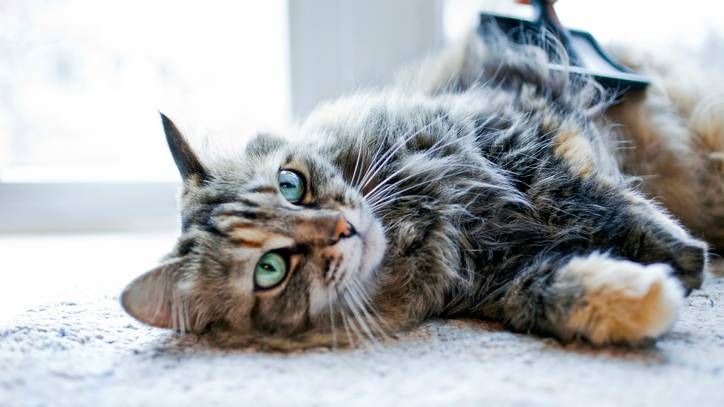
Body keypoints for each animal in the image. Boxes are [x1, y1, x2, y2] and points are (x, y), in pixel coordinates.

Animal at [120, 31, 720, 350]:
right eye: (270, 270)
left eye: (291, 185)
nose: (343, 227)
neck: (424, 228)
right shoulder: (500, 279)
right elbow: (552, 294)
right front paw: (655, 291)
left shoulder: (522, 132)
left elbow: (602, 204)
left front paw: (684, 258)